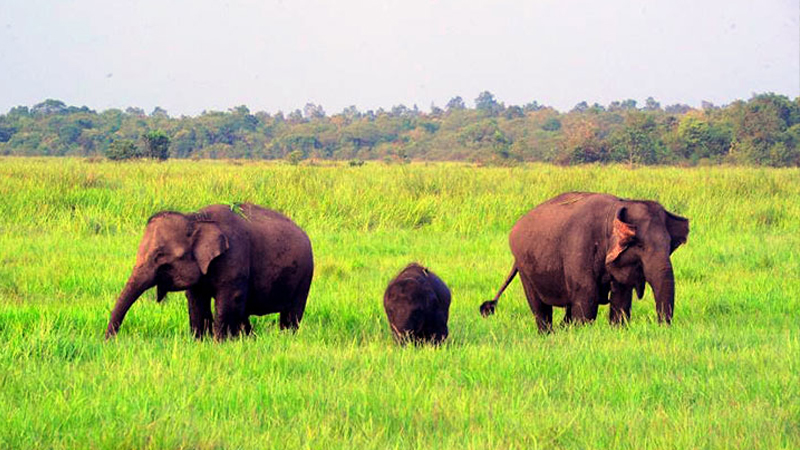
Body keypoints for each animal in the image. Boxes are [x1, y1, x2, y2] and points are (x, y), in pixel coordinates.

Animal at [101, 202, 312, 340]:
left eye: (160, 257)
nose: (108, 341)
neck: (196, 218)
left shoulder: (234, 256)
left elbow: (229, 298)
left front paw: (219, 343)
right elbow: (196, 300)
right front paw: (199, 341)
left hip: (305, 276)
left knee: (292, 313)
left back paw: (287, 337)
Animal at [482, 192, 688, 332]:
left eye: (669, 245)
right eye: (639, 245)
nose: (662, 327)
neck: (617, 207)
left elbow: (621, 299)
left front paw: (617, 329)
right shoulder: (579, 246)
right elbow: (587, 296)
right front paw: (583, 332)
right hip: (525, 268)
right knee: (540, 308)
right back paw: (548, 334)